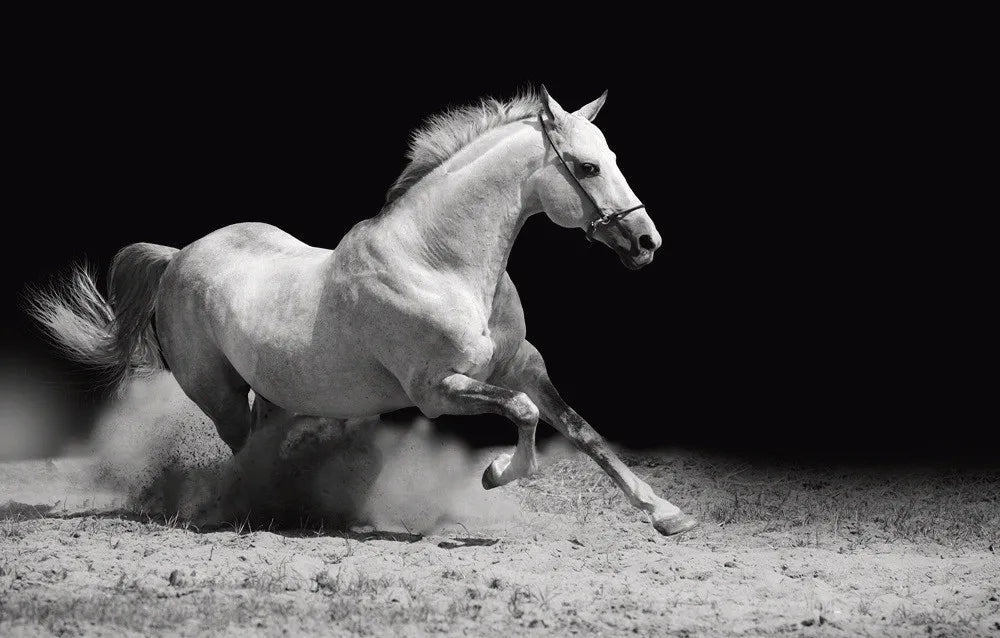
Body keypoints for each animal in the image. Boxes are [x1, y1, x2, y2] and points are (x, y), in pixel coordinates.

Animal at [29, 86, 698, 536]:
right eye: (587, 166)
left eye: (613, 157)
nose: (647, 242)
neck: (437, 263)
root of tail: (179, 256)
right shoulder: (438, 389)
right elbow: (526, 415)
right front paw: (493, 473)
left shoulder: (523, 367)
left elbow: (582, 430)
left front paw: (667, 514)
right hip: (217, 393)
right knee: (243, 450)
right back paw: (253, 509)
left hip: (277, 393)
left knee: (263, 443)